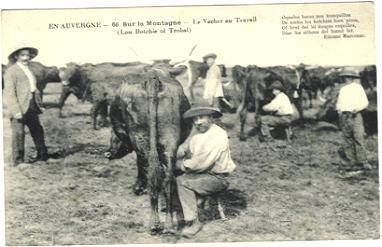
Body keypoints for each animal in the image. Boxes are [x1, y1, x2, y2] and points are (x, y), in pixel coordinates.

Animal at [103, 66, 192, 234]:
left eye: (113, 135)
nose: (108, 153)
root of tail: (153, 78)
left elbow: (139, 164)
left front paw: (138, 188)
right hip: (169, 138)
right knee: (167, 178)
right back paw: (168, 225)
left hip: (140, 137)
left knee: (148, 169)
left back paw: (154, 223)